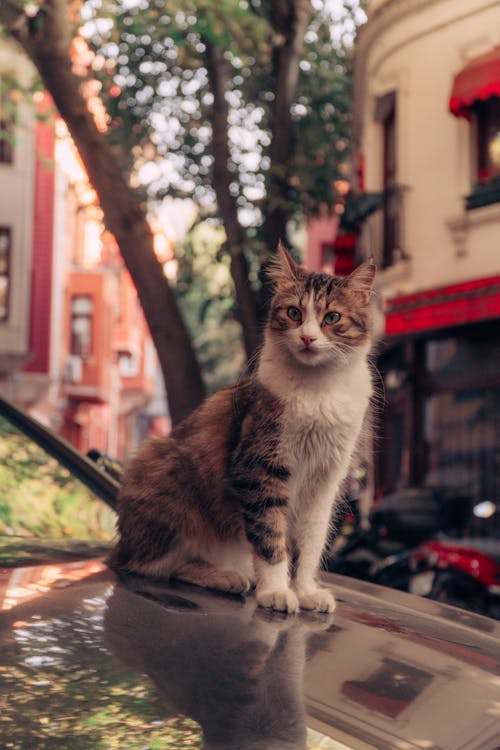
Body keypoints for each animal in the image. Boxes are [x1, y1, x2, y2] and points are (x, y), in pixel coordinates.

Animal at [109, 244, 376, 612]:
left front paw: (306, 590)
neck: (319, 390)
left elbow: (311, 543)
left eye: (332, 317)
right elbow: (270, 537)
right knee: (159, 566)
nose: (308, 337)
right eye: (294, 312)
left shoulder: (325, 479)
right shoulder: (260, 466)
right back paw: (225, 577)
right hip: (163, 469)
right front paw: (276, 591)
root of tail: (119, 548)